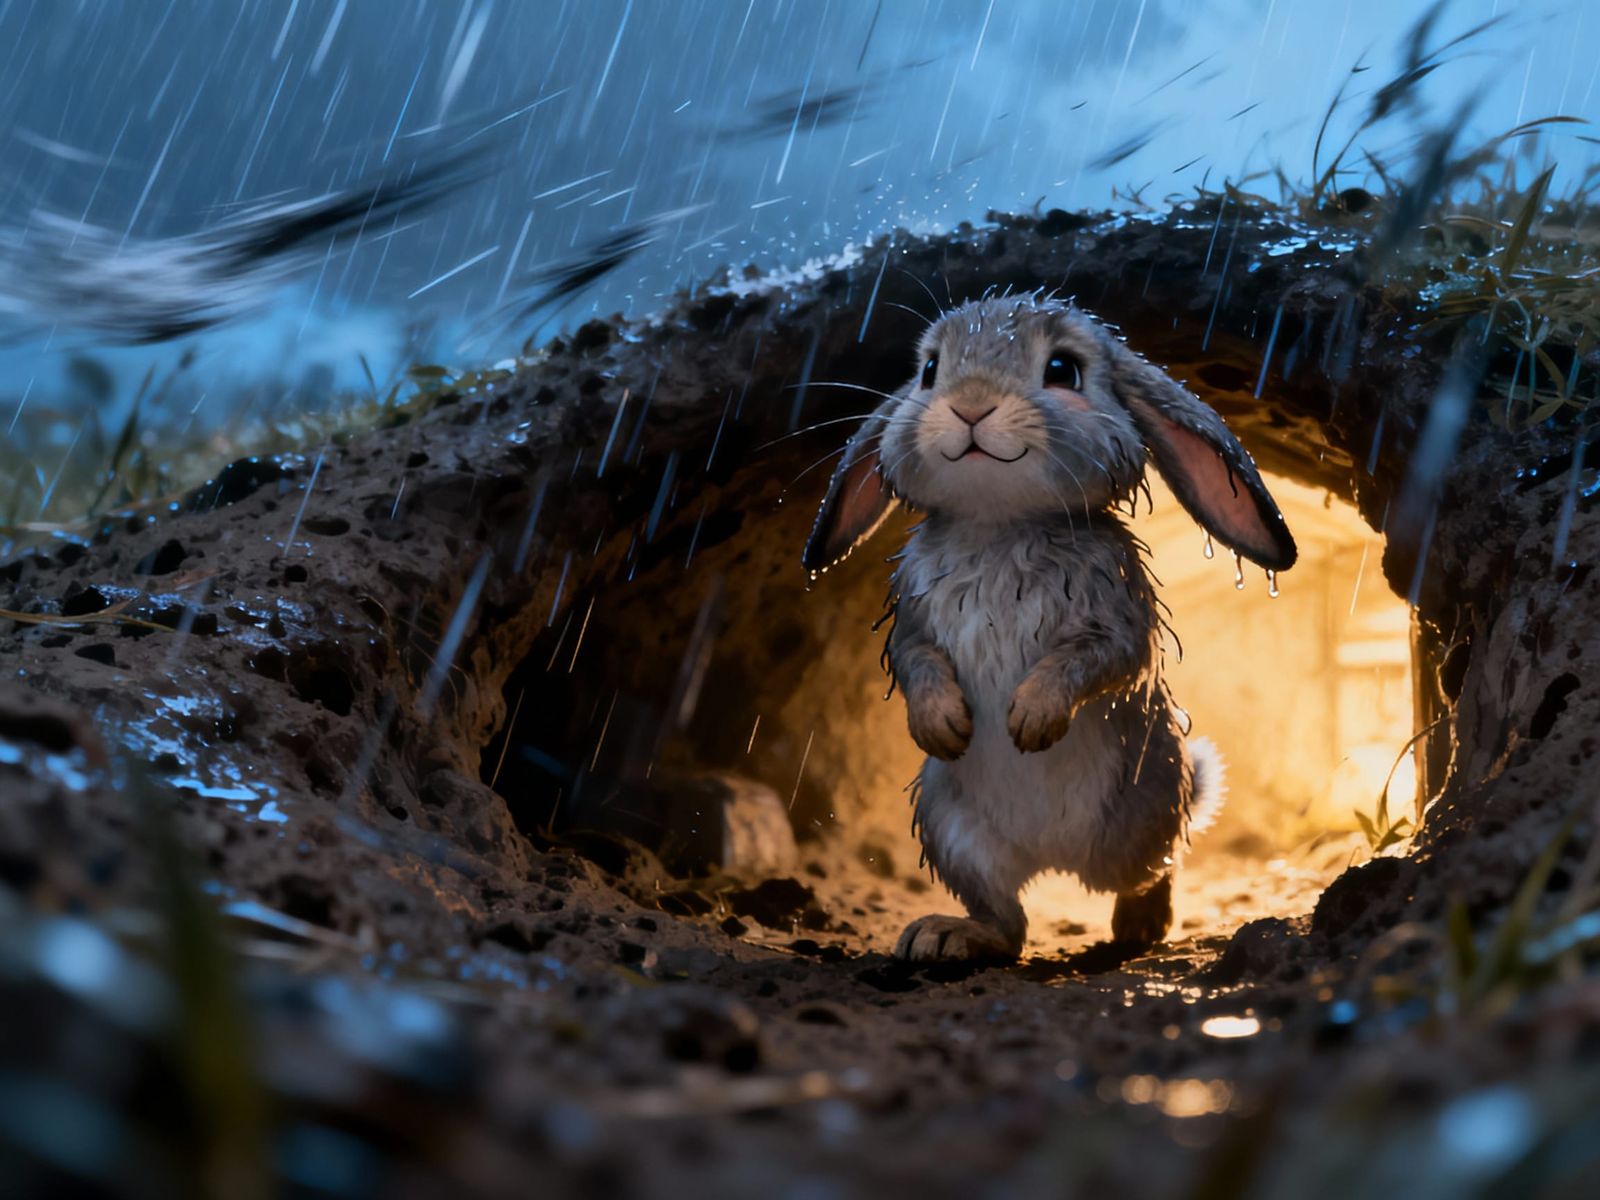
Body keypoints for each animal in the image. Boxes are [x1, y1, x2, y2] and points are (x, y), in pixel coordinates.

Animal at [803, 293, 1297, 962]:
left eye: (1063, 369)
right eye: (930, 370)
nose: (971, 405)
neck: (999, 525)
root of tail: (1054, 857)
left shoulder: (1115, 604)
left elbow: (1096, 657)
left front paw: (1030, 721)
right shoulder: (911, 613)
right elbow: (916, 658)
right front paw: (943, 726)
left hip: (1145, 811)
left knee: (1149, 872)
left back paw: (1140, 926)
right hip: (952, 829)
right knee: (1007, 921)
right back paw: (943, 937)